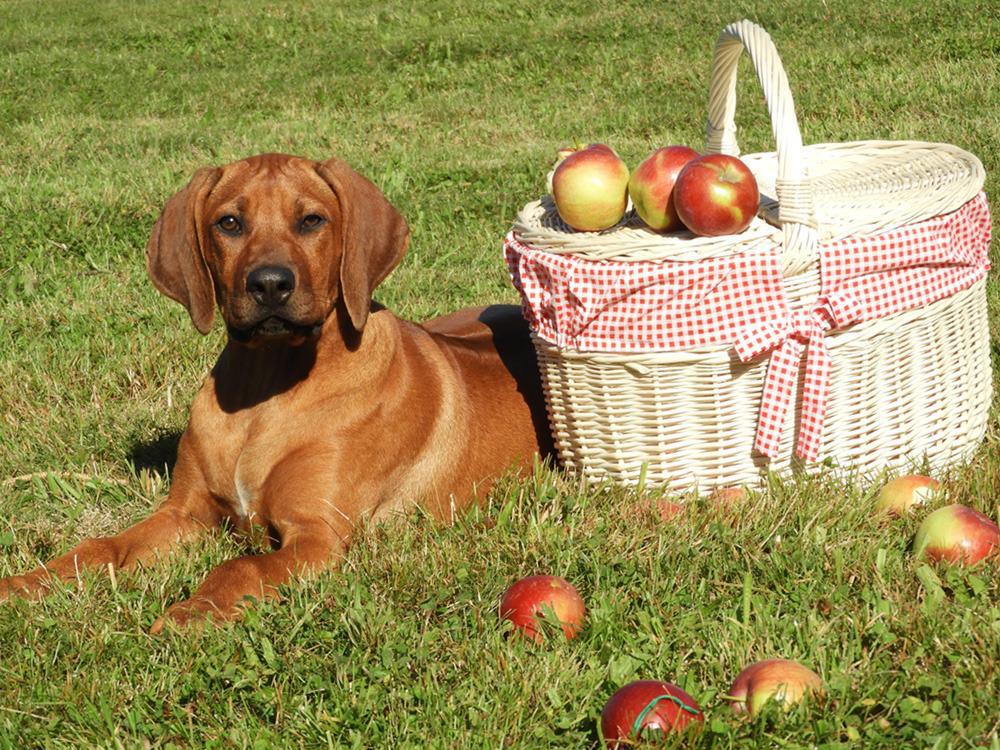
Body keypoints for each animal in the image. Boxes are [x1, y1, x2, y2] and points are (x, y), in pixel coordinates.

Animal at [0, 153, 552, 631]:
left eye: (311, 221)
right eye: (228, 223)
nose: (269, 284)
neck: (267, 389)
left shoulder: (317, 537)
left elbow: (240, 566)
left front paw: (191, 613)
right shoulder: (185, 513)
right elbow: (97, 546)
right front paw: (30, 583)